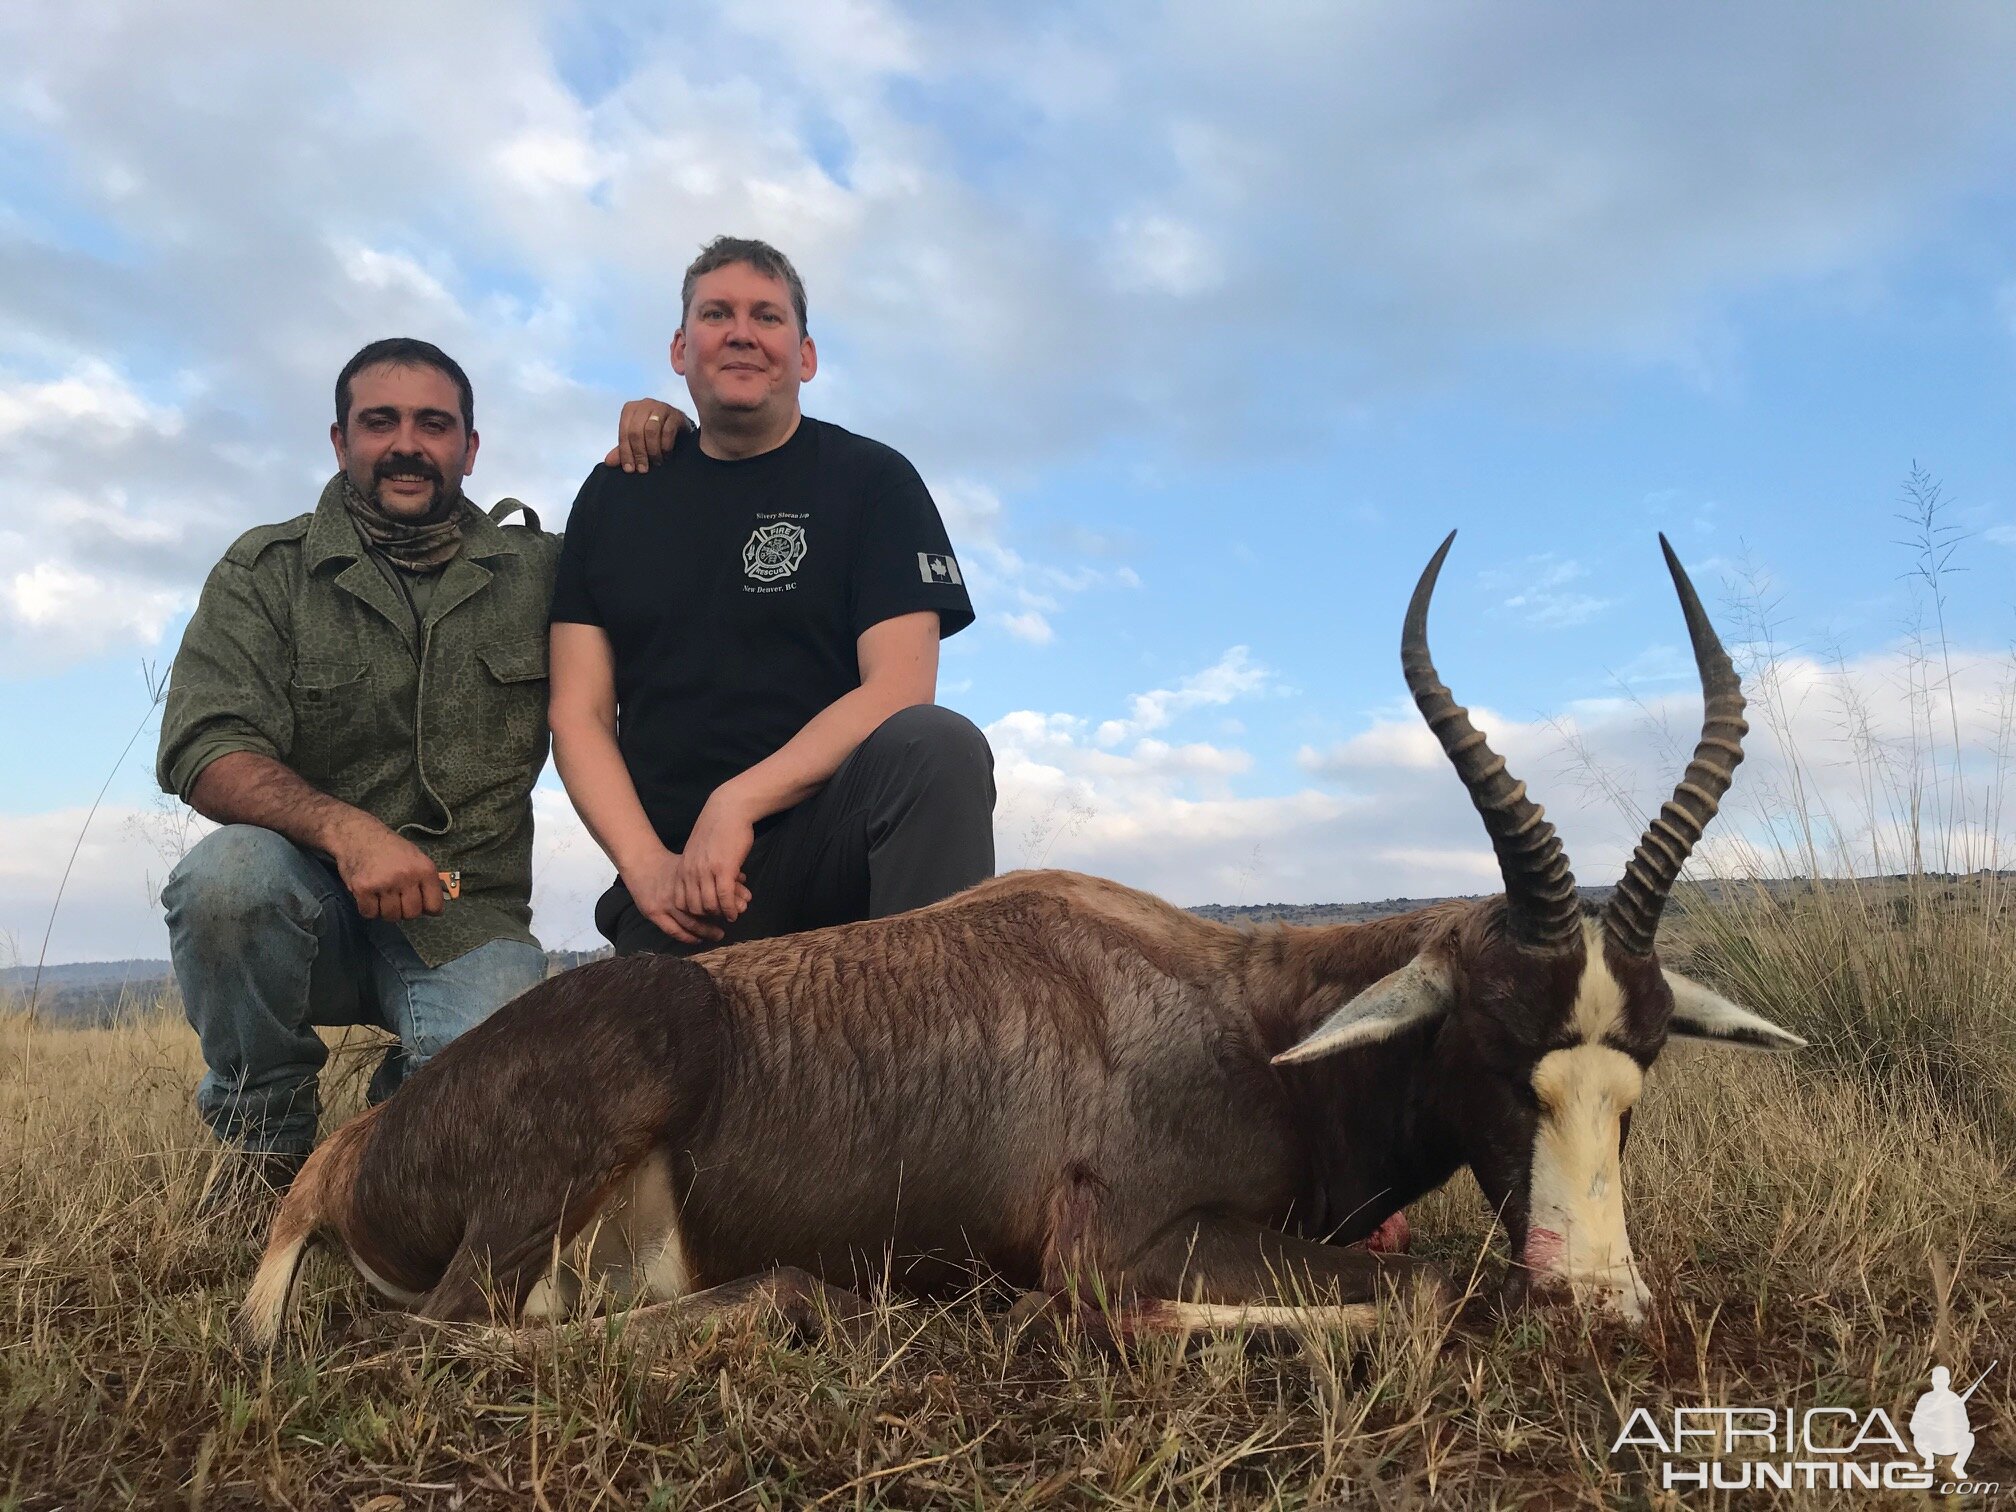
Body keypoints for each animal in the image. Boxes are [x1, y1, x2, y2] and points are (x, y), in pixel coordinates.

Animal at [243, 532, 1806, 1346]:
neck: (1241, 1017)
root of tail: (344, 1159)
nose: (1604, 1299)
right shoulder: (1112, 1249)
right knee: (464, 1334)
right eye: (1494, 1041)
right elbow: (1411, 1295)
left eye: (1642, 1065)